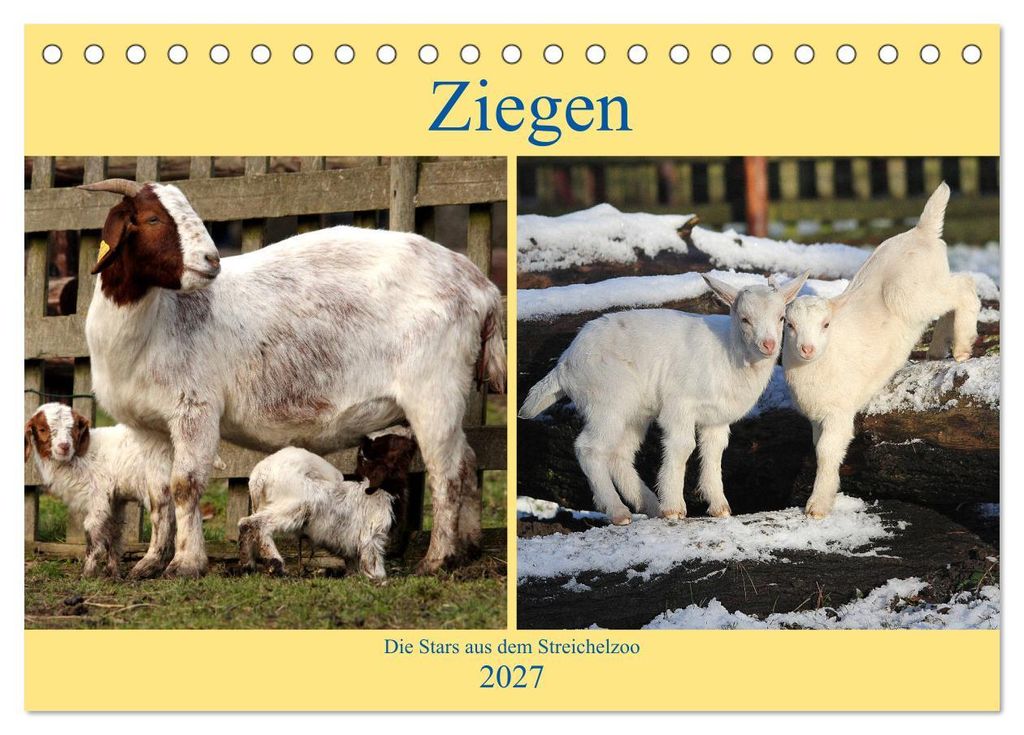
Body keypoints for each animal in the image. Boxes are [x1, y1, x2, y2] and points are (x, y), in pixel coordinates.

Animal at [24, 403, 175, 578]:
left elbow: (92, 532)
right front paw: (112, 572)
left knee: (164, 521)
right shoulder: (116, 499)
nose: (64, 446)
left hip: (159, 484)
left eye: (74, 427)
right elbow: (114, 533)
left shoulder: (99, 496)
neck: (82, 455)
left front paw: (88, 574)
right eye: (42, 429)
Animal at [238, 430, 418, 580]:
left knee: (246, 525)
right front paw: (378, 578)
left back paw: (247, 564)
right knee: (254, 523)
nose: (412, 438)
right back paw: (275, 564)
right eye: (393, 442)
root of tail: (260, 474)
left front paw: (352, 575)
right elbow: (373, 561)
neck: (382, 490)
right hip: (294, 508)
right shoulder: (372, 536)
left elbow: (352, 561)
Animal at [519, 272, 808, 523]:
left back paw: (649, 504)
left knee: (620, 454)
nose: (768, 345)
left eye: (782, 318)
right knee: (589, 448)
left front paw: (720, 507)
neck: (728, 353)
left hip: (634, 412)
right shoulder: (679, 404)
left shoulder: (716, 418)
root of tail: (565, 364)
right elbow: (683, 446)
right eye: (745, 319)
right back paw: (619, 511)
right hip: (607, 400)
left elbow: (713, 453)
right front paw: (674, 509)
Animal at [782, 183, 981, 518]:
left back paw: (964, 347)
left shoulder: (838, 410)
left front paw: (817, 507)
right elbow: (822, 449)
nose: (806, 348)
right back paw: (938, 349)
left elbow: (826, 452)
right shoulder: (816, 416)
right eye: (789, 325)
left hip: (911, 293)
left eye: (825, 325)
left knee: (965, 286)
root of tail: (922, 231)